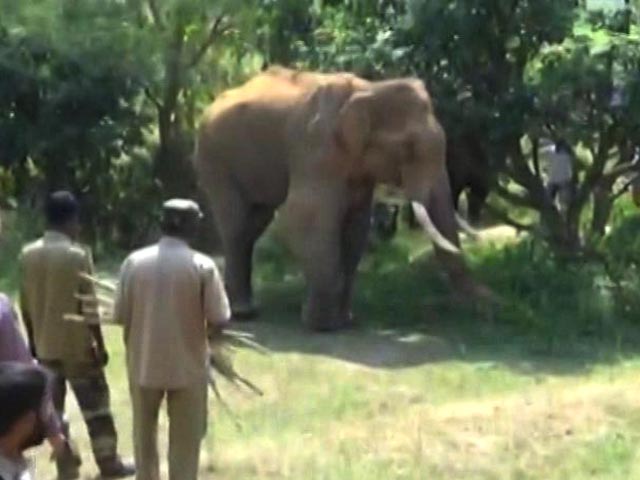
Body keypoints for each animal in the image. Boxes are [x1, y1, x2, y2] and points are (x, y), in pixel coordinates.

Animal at [195, 67, 489, 331]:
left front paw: (346, 321)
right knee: (236, 226)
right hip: (214, 158)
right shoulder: (316, 150)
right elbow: (303, 217)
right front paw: (322, 325)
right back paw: (244, 313)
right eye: (407, 149)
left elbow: (356, 228)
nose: (485, 307)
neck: (370, 89)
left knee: (253, 223)